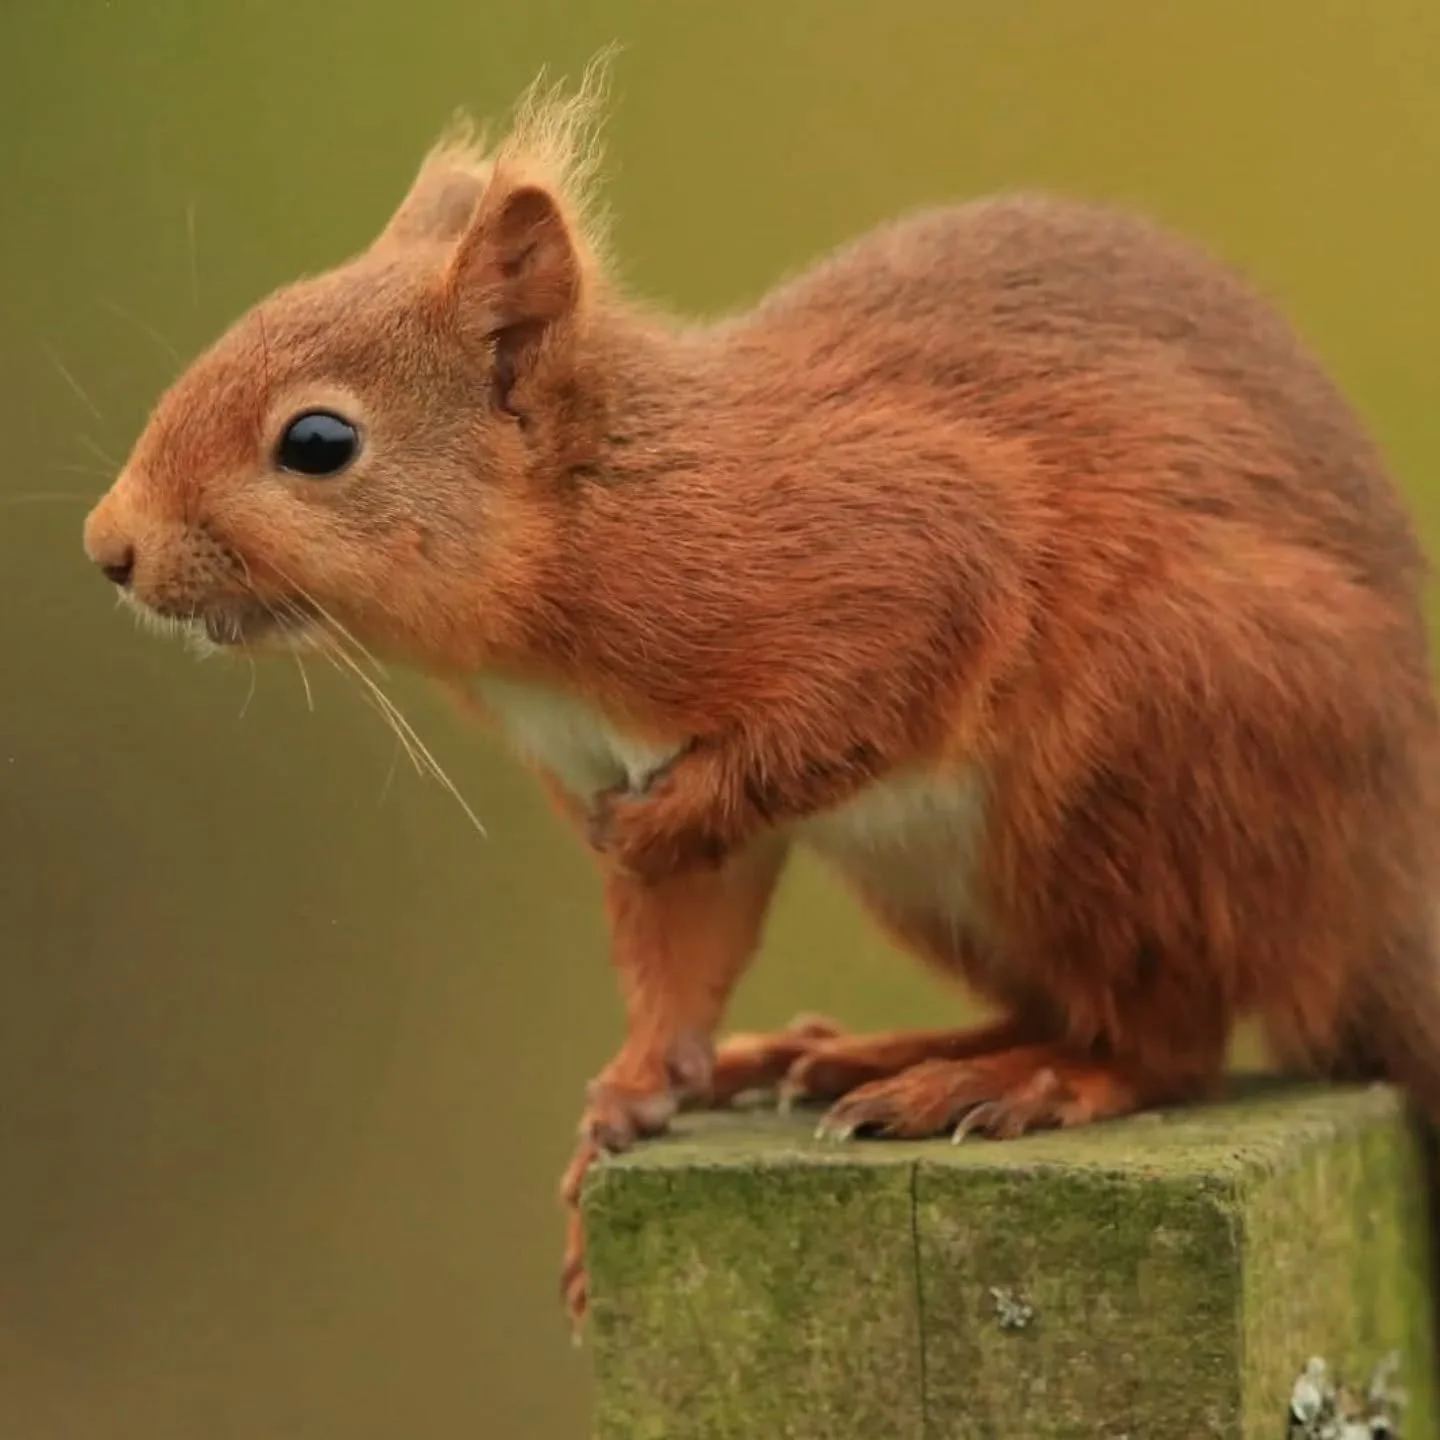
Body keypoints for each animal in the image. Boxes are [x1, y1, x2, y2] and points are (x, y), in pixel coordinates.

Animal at [82, 62, 1440, 1332]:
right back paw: (859, 1054)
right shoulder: (618, 770)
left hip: (1143, 760)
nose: (110, 547)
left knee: (1164, 1042)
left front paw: (666, 825)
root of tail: (1382, 892)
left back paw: (1014, 1080)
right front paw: (627, 1102)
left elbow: (855, 700)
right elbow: (683, 953)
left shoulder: (900, 549)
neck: (596, 519)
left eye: (318, 442)